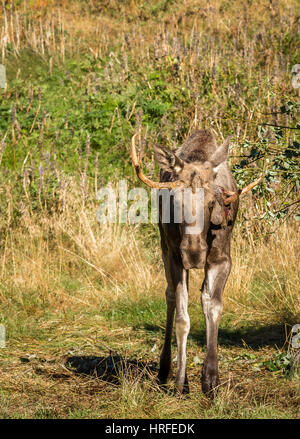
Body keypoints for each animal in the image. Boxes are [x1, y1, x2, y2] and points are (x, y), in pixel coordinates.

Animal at [131, 131, 260, 398]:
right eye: (175, 202)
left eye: (212, 202)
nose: (194, 253)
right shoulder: (175, 258)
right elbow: (183, 319)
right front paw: (182, 381)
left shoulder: (222, 259)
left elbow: (213, 306)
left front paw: (211, 379)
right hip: (165, 250)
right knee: (170, 295)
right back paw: (164, 370)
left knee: (199, 296)